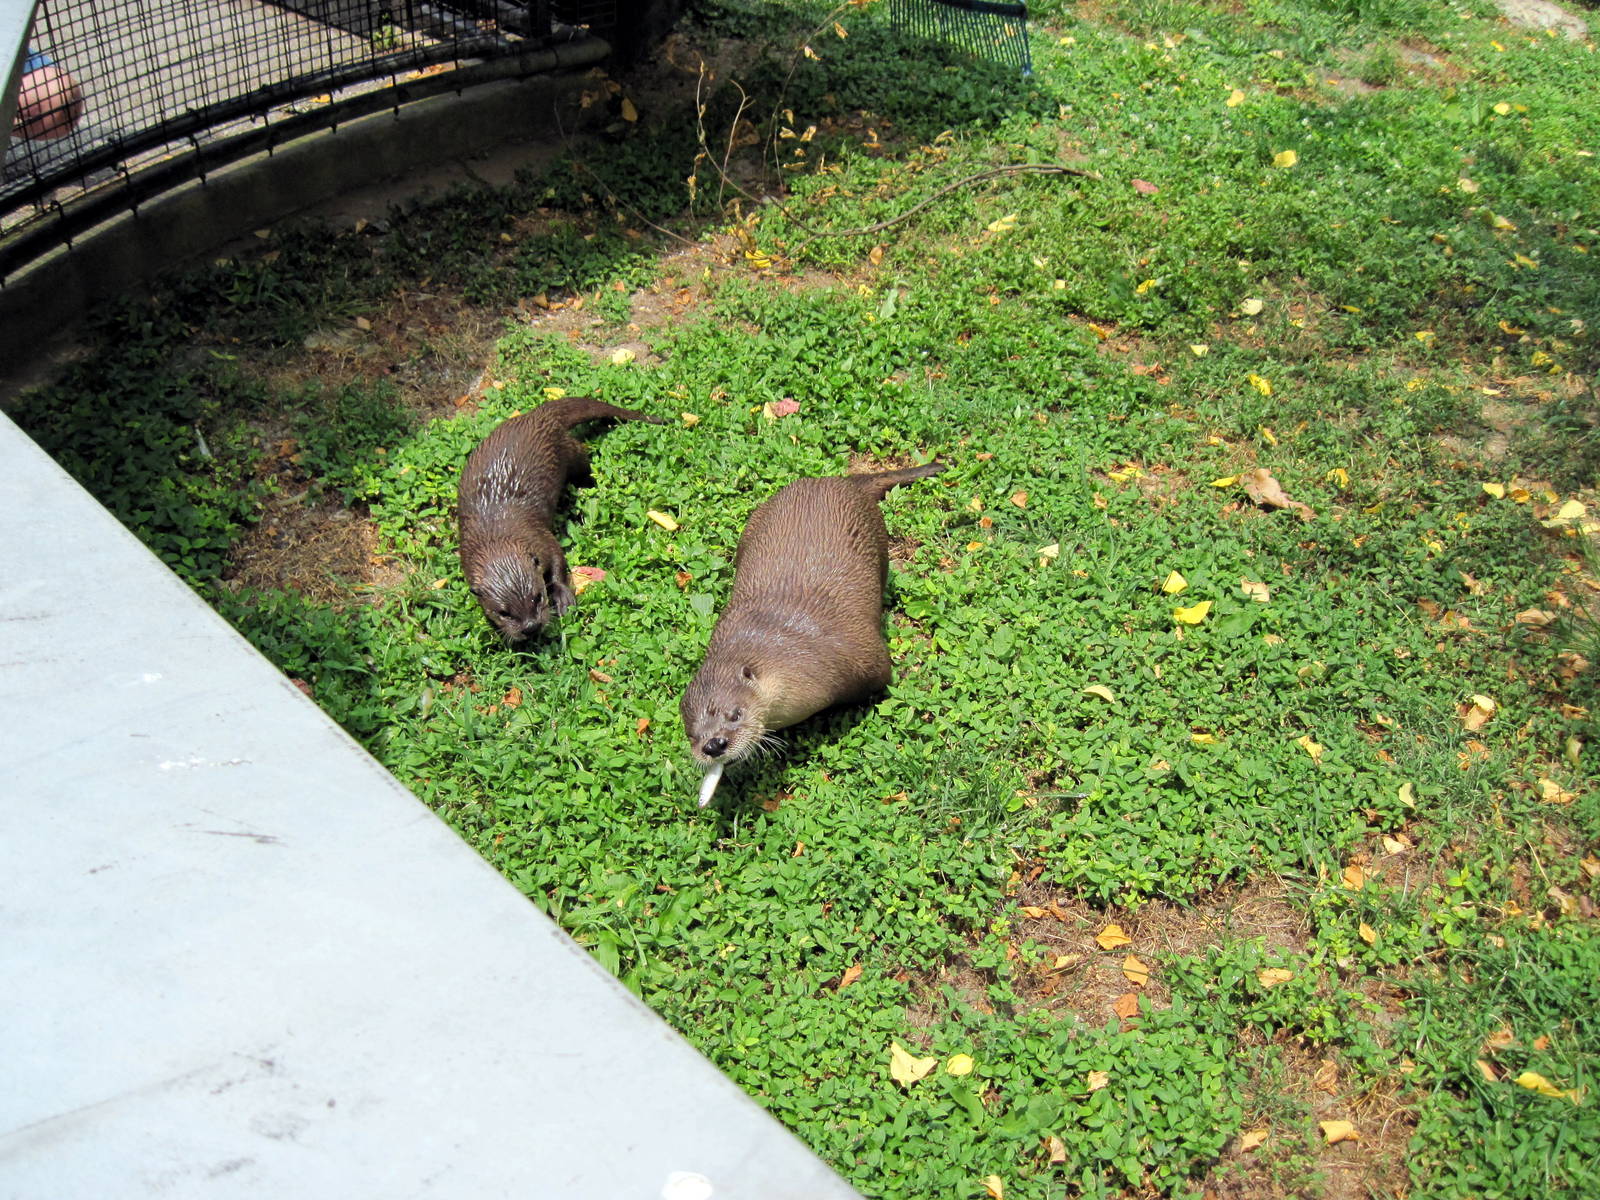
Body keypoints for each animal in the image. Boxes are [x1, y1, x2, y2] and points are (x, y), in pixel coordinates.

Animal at [458, 396, 663, 642]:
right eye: (504, 612)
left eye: (537, 597)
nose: (531, 627)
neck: (494, 533)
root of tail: (537, 416)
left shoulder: (539, 538)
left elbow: (557, 561)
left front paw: (563, 596)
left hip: (568, 450)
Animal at [680, 461, 947, 804]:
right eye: (692, 733)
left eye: (735, 714)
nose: (714, 745)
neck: (794, 656)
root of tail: (837, 481)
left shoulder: (862, 656)